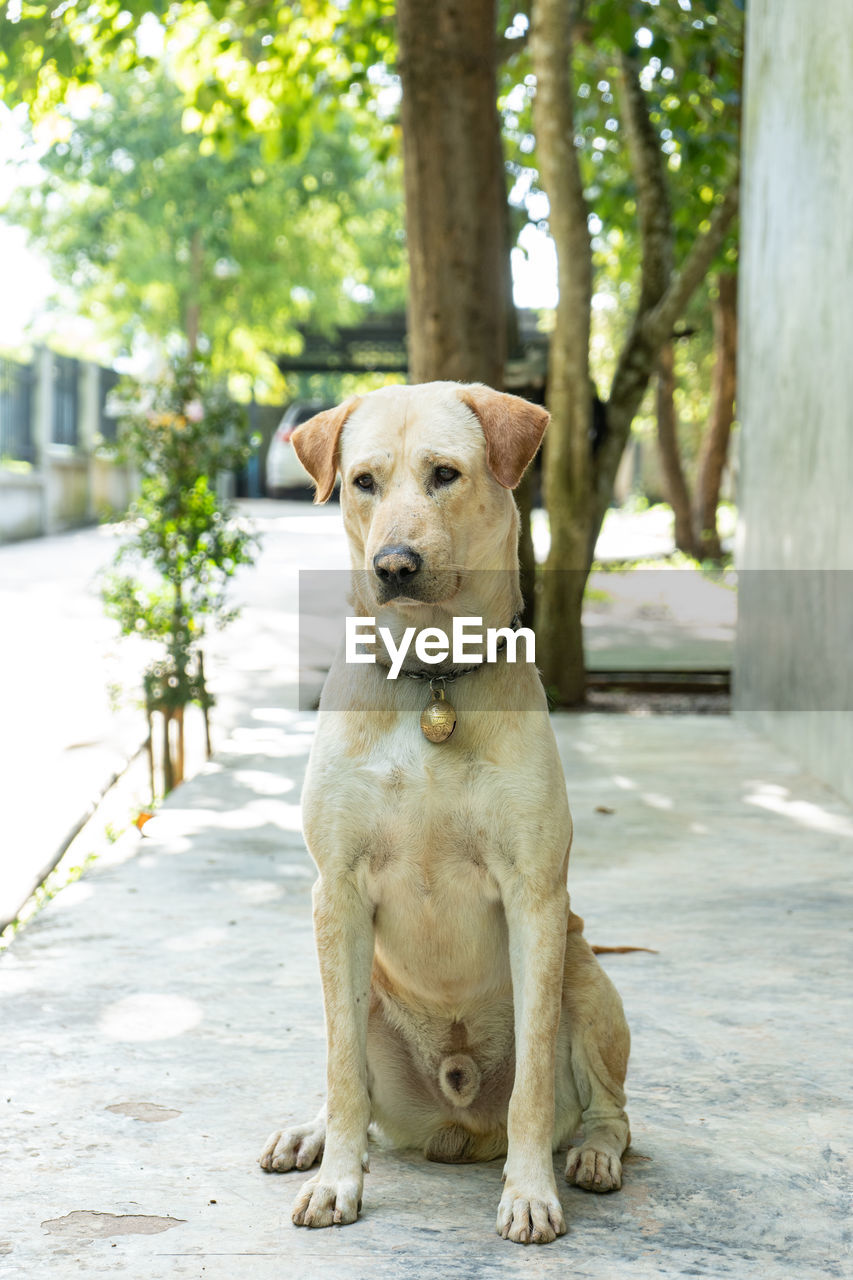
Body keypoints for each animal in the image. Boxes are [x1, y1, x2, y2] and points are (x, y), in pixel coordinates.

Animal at [261, 378, 630, 1239]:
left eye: (444, 475)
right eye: (362, 481)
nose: (394, 564)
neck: (430, 676)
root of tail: (457, 1126)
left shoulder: (535, 897)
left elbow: (533, 1085)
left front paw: (529, 1191)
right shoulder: (336, 893)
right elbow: (340, 1072)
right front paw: (337, 1182)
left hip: (590, 983)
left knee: (611, 1112)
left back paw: (592, 1157)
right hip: (362, 993)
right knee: (350, 1086)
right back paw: (313, 1135)